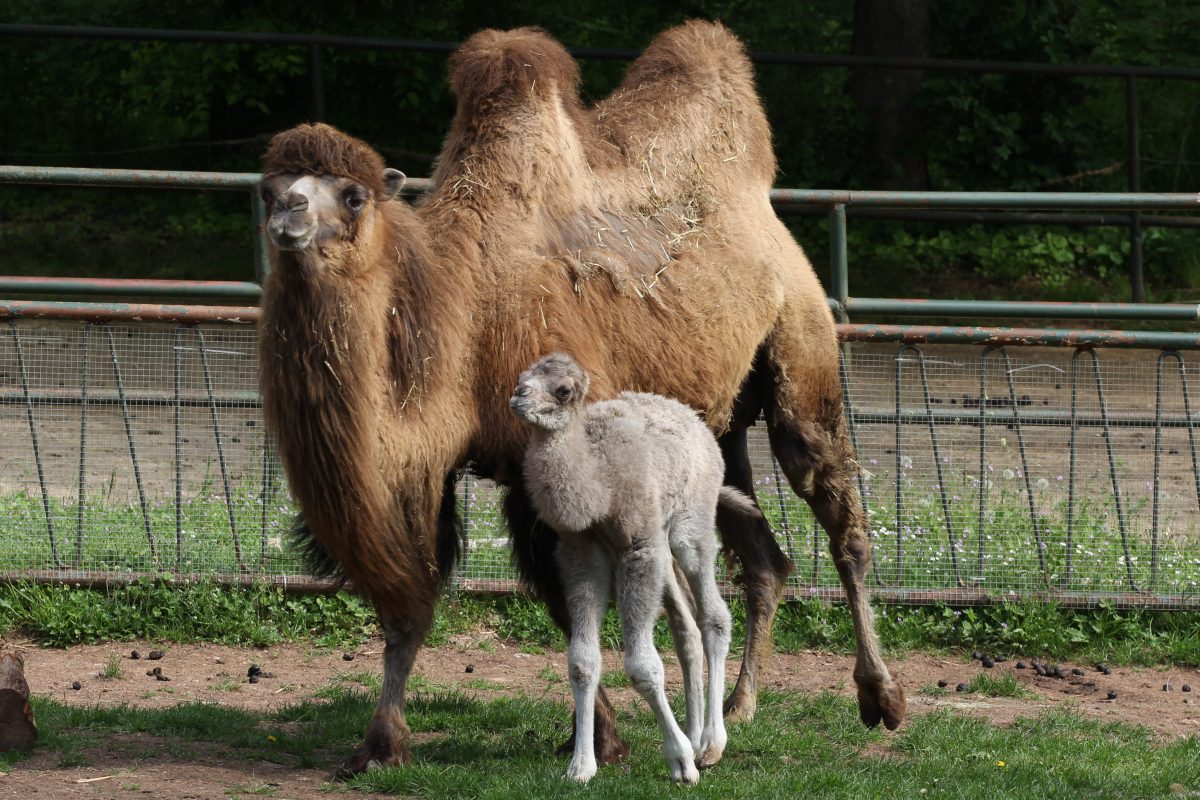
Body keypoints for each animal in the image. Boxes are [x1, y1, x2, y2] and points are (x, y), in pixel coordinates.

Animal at [508, 352, 748, 786]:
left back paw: (710, 745)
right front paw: (581, 767)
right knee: (685, 624)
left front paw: (681, 763)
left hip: (690, 527)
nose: (519, 396)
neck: (599, 484)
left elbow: (642, 666)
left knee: (714, 615)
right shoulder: (580, 554)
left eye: (563, 390)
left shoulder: (637, 550)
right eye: (523, 377)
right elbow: (582, 662)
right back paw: (693, 736)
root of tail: (700, 427)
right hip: (662, 544)